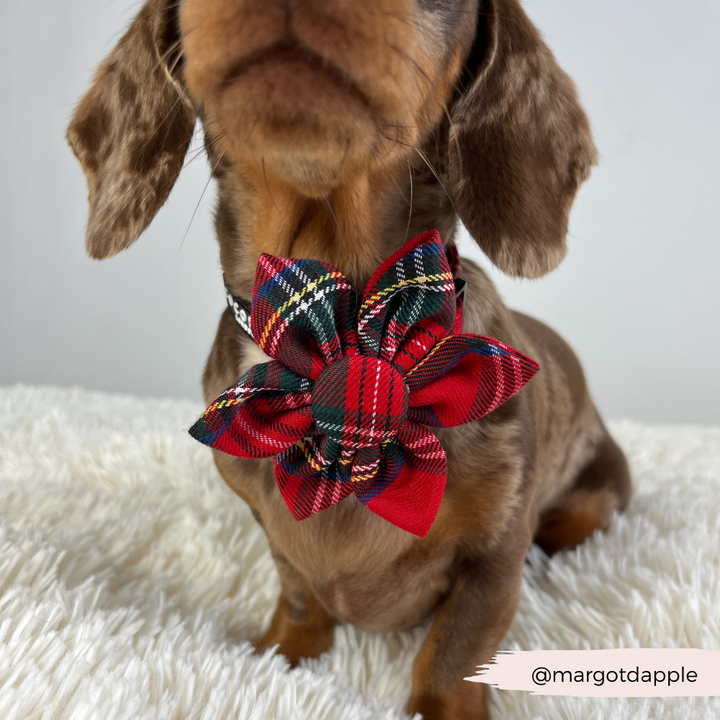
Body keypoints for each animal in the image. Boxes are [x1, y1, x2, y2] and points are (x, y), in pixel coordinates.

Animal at [67, 2, 632, 716]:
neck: (341, 322)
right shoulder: (270, 524)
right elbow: (299, 593)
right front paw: (281, 654)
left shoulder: (496, 552)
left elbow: (455, 654)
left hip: (593, 503)